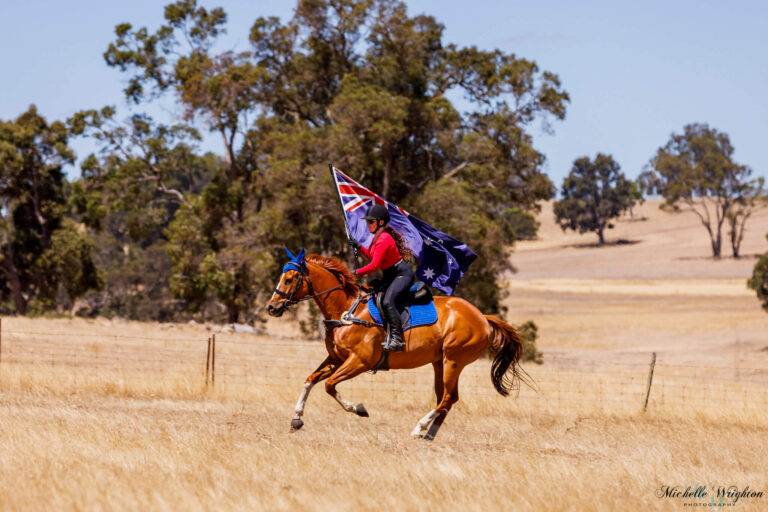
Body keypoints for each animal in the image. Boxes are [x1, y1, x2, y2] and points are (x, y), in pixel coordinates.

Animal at [266, 248, 528, 440]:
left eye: (289, 279)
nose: (271, 307)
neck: (346, 309)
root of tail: (482, 317)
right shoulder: (337, 359)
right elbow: (309, 380)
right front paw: (297, 418)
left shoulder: (359, 361)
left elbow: (330, 386)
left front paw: (359, 409)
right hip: (439, 363)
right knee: (446, 399)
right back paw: (428, 434)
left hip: (453, 361)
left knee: (448, 398)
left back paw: (419, 428)